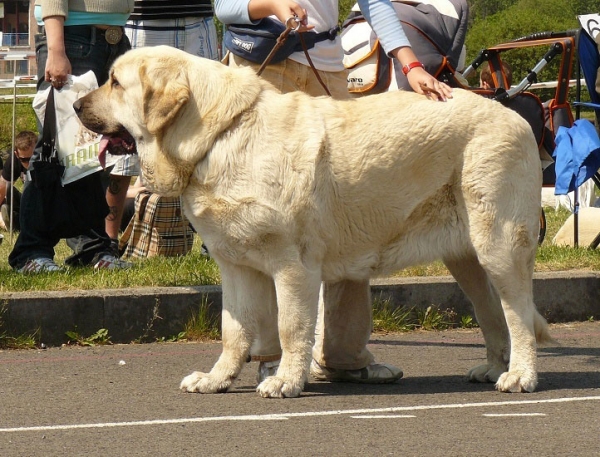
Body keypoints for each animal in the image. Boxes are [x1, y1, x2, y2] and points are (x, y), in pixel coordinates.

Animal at [76, 45, 552, 396]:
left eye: (115, 83)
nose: (77, 103)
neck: (219, 136)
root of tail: (514, 116)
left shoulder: (293, 266)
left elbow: (292, 327)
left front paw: (285, 380)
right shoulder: (236, 267)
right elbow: (234, 329)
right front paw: (217, 379)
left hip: (498, 245)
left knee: (517, 314)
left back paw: (520, 376)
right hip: (467, 258)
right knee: (492, 312)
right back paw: (493, 368)